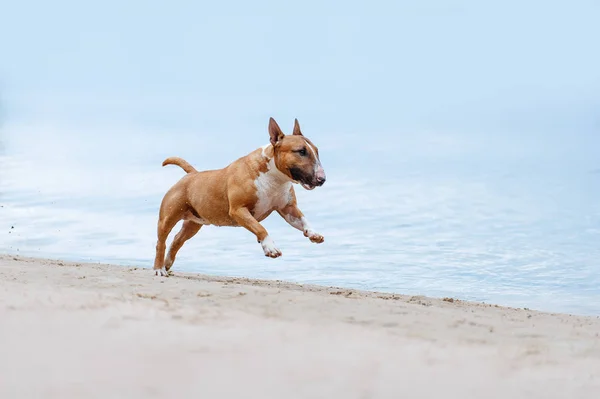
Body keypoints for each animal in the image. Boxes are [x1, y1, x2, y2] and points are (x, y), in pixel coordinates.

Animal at [152, 117, 326, 276]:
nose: (322, 179)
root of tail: (192, 174)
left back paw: (168, 263)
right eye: (301, 151)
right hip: (168, 217)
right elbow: (260, 227)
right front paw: (270, 247)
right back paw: (159, 268)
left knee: (177, 240)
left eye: (316, 151)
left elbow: (302, 219)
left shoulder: (288, 208)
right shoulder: (238, 210)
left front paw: (313, 233)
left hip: (193, 223)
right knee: (161, 242)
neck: (275, 177)